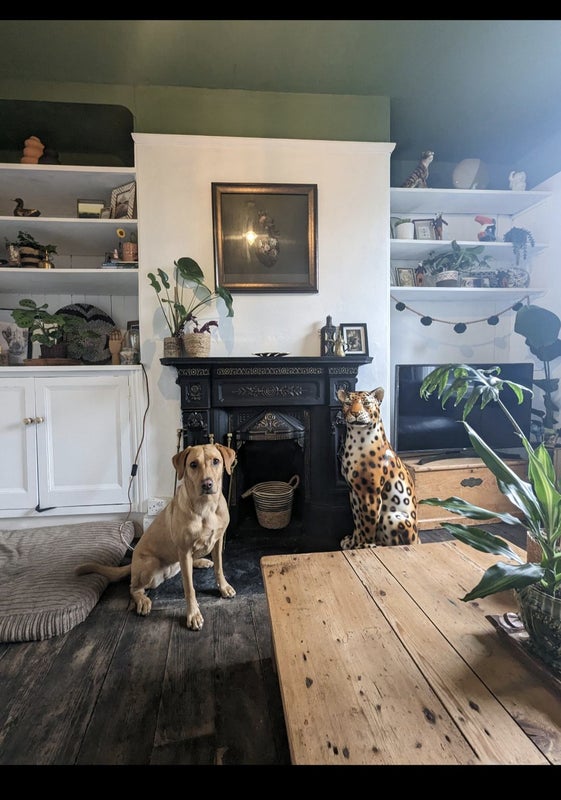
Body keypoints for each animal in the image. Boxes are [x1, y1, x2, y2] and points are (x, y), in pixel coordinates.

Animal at [76, 443, 237, 630]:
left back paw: (200, 561)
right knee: (133, 588)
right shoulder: (184, 550)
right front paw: (193, 614)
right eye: (193, 464)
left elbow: (219, 568)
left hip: (176, 563)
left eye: (216, 461)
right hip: (151, 566)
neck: (207, 507)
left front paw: (224, 587)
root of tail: (132, 565)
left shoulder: (217, 541)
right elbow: (189, 587)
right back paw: (142, 601)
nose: (207, 484)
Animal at [336, 387, 418, 549]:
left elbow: (368, 523)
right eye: (348, 403)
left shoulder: (370, 493)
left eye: (366, 403)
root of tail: (418, 539)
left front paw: (364, 545)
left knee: (394, 543)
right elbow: (358, 521)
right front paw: (353, 542)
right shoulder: (354, 492)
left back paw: (378, 545)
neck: (355, 438)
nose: (355, 413)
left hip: (393, 517)